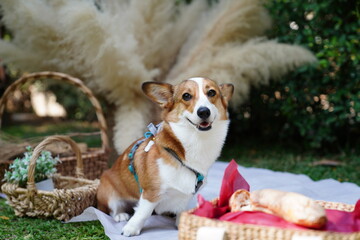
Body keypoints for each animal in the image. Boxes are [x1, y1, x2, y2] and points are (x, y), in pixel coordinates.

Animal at [95, 77, 233, 236]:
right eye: (186, 96)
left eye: (211, 92)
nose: (203, 111)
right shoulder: (150, 193)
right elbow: (143, 213)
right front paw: (131, 229)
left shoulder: (186, 195)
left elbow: (182, 210)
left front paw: (181, 224)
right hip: (107, 189)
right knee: (112, 208)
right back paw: (120, 215)